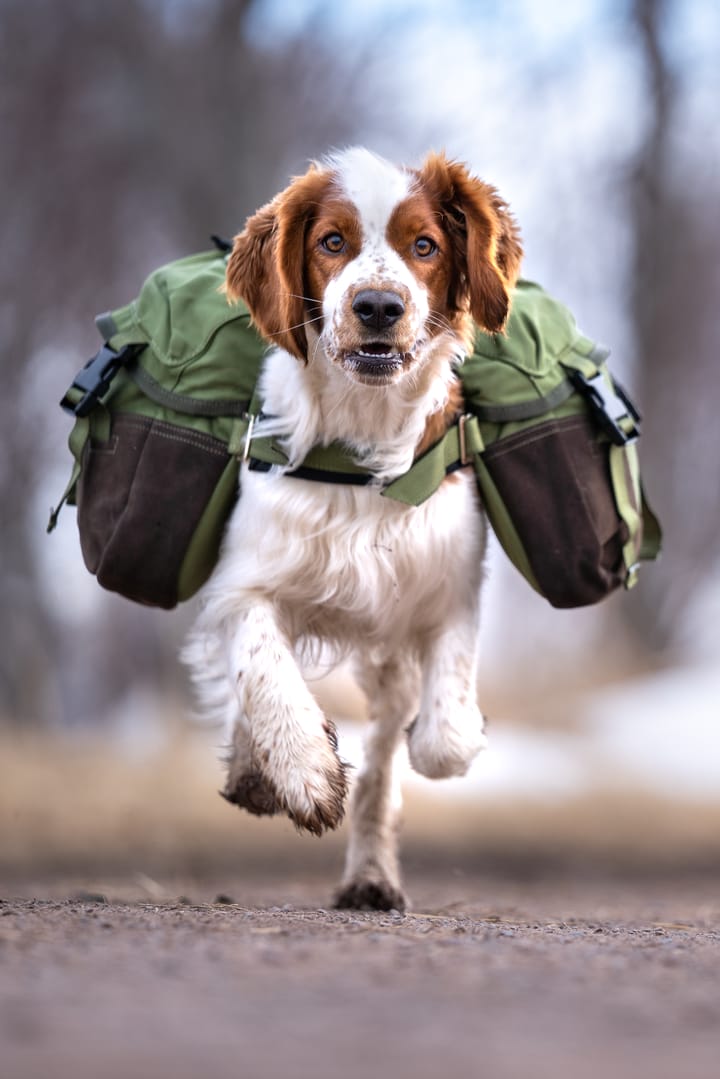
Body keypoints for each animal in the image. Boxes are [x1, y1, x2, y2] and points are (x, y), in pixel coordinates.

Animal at [183, 147, 520, 910]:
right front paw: (300, 769)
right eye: (331, 241)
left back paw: (371, 876)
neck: (364, 433)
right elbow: (262, 666)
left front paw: (457, 731)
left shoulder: (449, 592)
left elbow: (441, 741)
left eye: (424, 246)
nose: (378, 308)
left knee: (388, 758)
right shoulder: (243, 580)